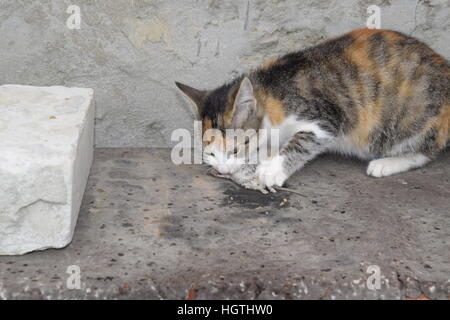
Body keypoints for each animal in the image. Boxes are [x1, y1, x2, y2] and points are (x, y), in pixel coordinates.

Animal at [176, 28, 450, 192]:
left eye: (234, 149)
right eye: (210, 153)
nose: (222, 169)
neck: (271, 92)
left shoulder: (327, 116)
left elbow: (303, 140)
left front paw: (272, 170)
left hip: (410, 118)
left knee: (423, 151)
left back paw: (386, 163)